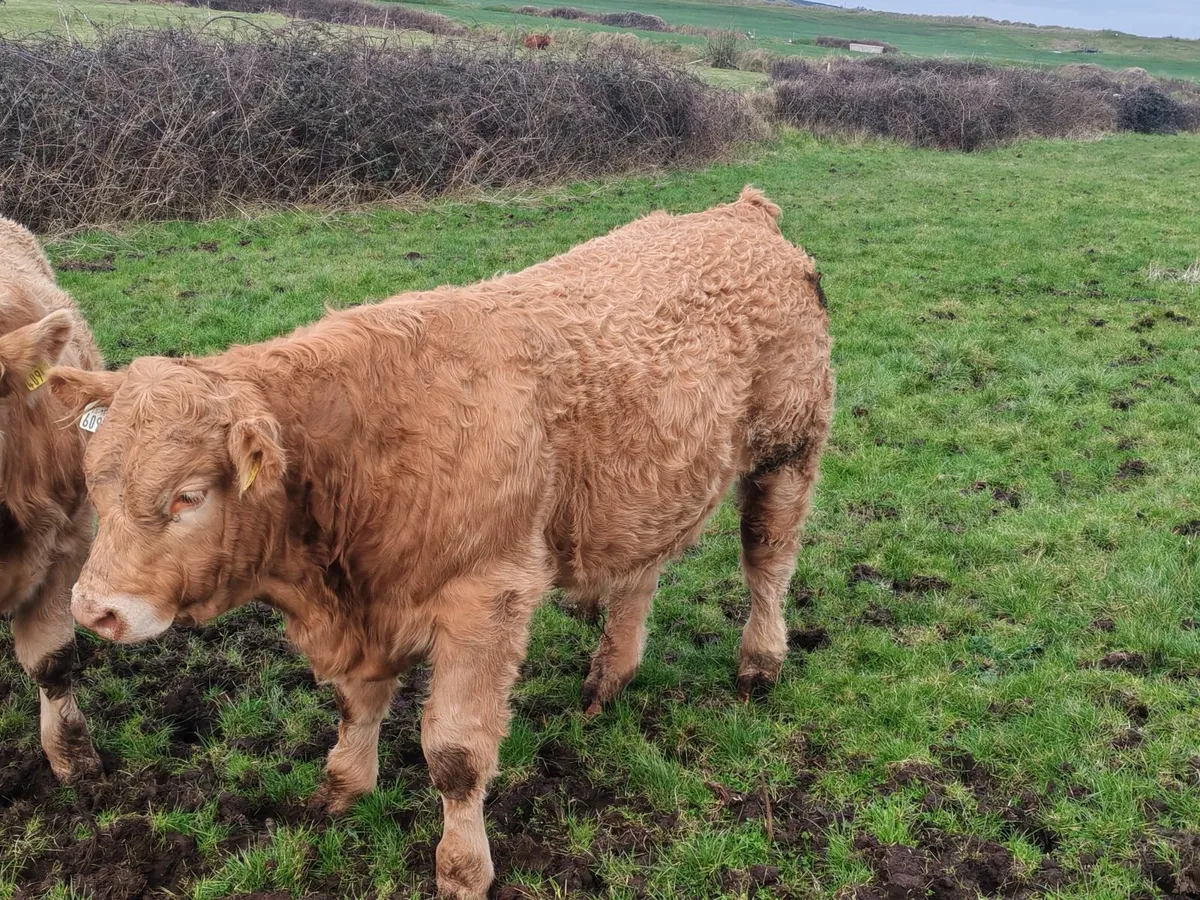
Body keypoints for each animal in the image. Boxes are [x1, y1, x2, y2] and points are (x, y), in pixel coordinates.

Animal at [49, 186, 833, 898]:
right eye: (94, 483)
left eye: (187, 495)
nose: (92, 609)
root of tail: (742, 212)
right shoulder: (365, 609)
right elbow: (356, 705)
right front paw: (342, 788)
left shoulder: (486, 597)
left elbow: (455, 754)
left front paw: (462, 869)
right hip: (642, 492)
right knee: (639, 576)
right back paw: (608, 678)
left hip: (788, 450)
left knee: (767, 560)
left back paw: (759, 664)